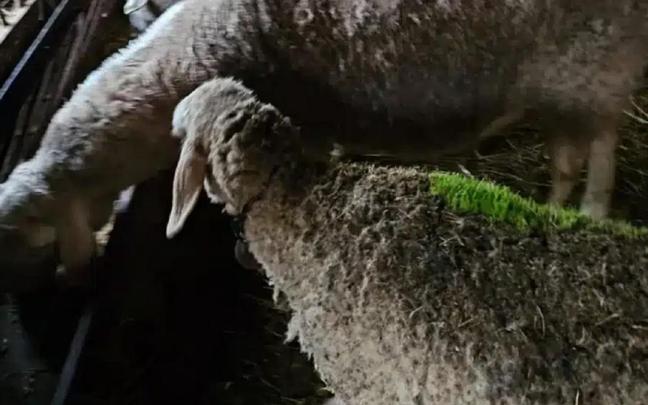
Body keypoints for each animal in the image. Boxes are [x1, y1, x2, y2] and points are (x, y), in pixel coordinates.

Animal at [3, 0, 648, 290]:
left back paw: (592, 214)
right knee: (568, 154)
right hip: (562, 89)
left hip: (593, 70)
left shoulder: (300, 122)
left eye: (27, 235)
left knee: (601, 152)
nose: (56, 281)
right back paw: (556, 208)